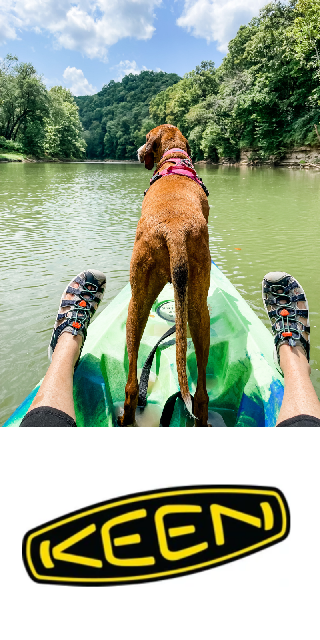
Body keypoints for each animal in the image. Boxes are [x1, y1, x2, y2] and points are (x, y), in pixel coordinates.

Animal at [119, 124, 211, 428]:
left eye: (146, 138)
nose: (137, 151)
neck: (175, 158)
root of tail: (175, 229)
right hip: (197, 308)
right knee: (201, 394)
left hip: (137, 300)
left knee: (131, 383)